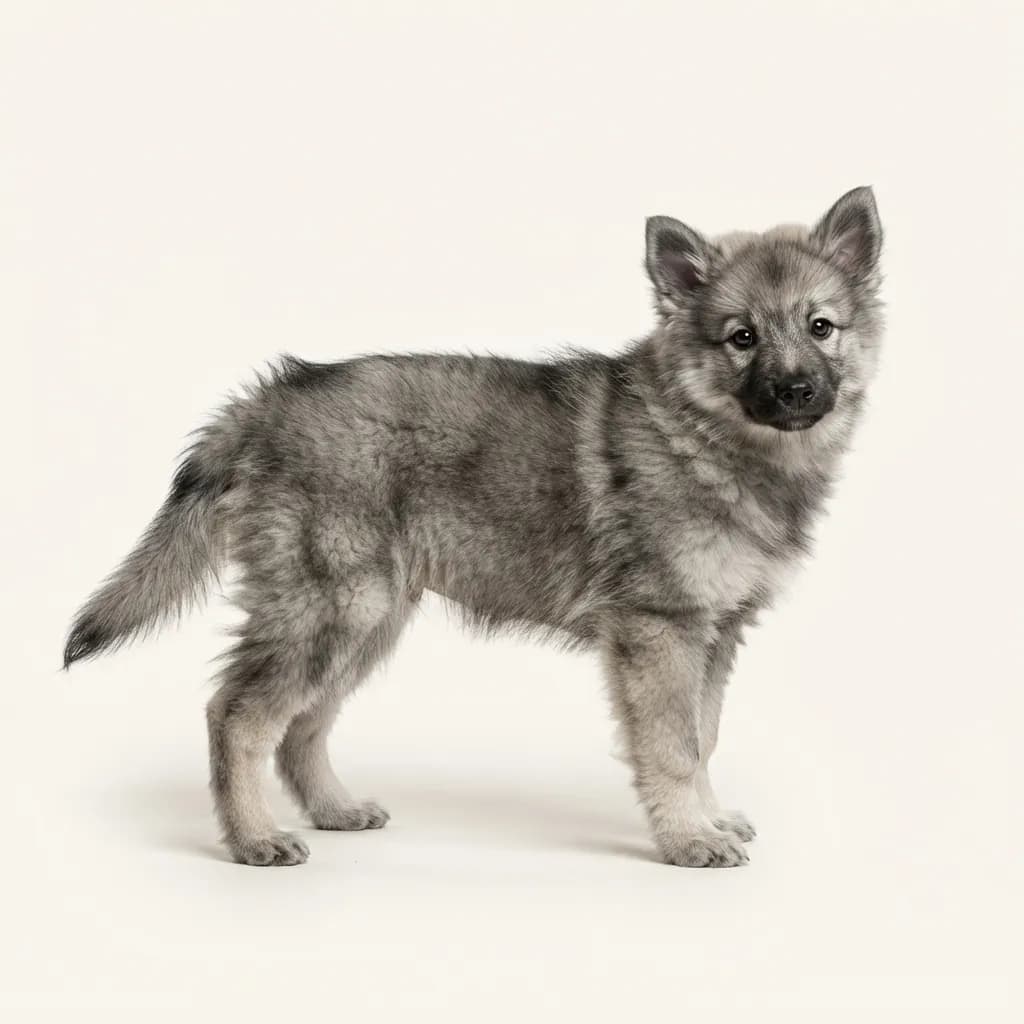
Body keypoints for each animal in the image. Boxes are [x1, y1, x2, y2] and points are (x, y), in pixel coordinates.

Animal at [64, 188, 883, 868]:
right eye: (741, 337)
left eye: (821, 328)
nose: (796, 389)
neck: (707, 437)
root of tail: (268, 399)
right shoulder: (662, 630)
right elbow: (674, 747)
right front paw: (688, 839)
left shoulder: (716, 632)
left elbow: (703, 737)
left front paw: (709, 820)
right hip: (333, 608)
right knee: (238, 715)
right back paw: (252, 838)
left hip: (368, 620)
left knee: (301, 727)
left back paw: (333, 810)